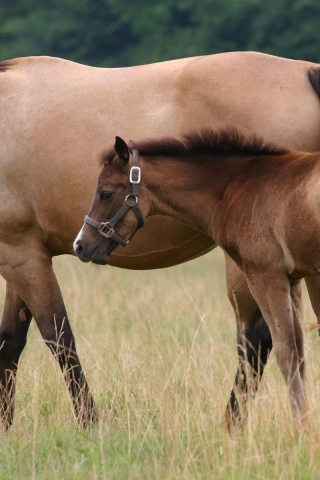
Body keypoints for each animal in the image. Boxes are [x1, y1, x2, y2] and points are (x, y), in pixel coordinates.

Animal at [75, 128, 320, 428]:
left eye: (106, 193)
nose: (80, 245)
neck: (236, 188)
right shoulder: (294, 279)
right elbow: (299, 354)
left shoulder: (266, 276)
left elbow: (287, 352)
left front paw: (302, 430)